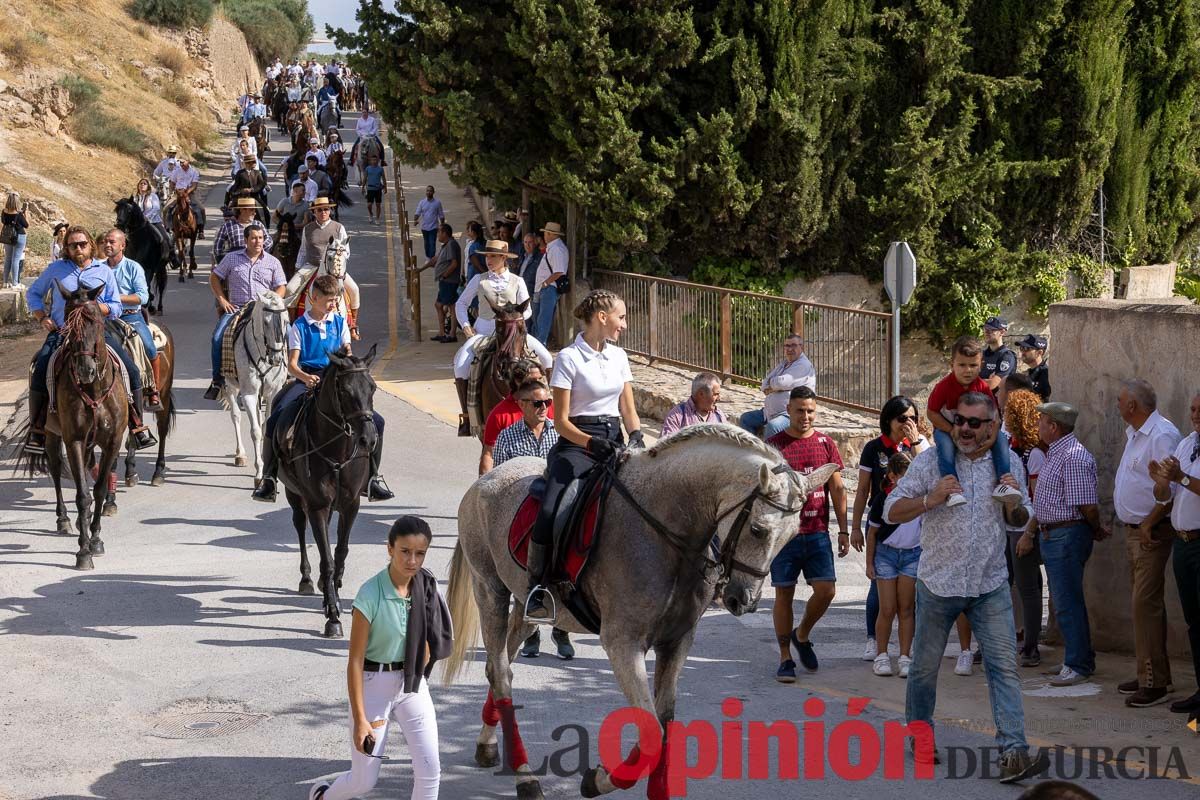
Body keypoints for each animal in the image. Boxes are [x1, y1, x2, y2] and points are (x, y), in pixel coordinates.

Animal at [20, 281, 130, 568]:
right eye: (68, 321)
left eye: (93, 319)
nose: (84, 370)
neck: (93, 389)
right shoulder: (75, 440)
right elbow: (82, 494)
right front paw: (83, 551)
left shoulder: (112, 441)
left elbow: (99, 490)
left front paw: (96, 540)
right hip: (51, 435)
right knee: (57, 470)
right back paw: (63, 520)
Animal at [219, 291, 289, 484]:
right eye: (265, 322)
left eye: (286, 321)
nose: (277, 358)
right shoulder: (249, 394)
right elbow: (256, 431)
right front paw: (259, 473)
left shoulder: (272, 393)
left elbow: (265, 426)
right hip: (231, 386)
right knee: (235, 416)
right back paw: (240, 455)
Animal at [276, 345, 379, 638]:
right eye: (345, 391)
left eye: (372, 387)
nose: (368, 439)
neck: (337, 452)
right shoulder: (317, 505)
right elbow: (327, 559)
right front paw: (332, 617)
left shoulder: (351, 504)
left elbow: (340, 552)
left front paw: (337, 592)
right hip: (296, 497)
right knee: (300, 528)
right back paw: (308, 578)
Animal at [446, 424, 840, 800]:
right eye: (758, 530)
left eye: (793, 537)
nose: (744, 600)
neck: (667, 532)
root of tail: (485, 480)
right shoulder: (623, 643)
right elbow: (651, 734)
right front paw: (596, 780)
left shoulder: (676, 641)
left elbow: (665, 725)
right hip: (491, 593)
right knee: (501, 675)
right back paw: (526, 780)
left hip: (528, 609)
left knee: (499, 668)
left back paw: (486, 745)